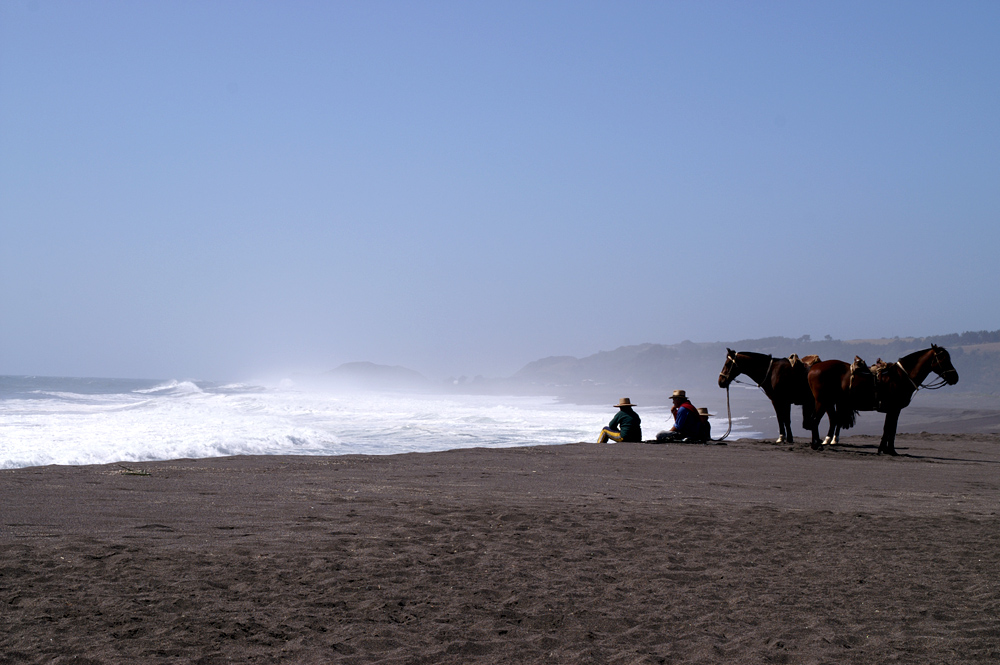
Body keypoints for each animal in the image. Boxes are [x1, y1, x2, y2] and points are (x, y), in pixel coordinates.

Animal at [804, 344, 960, 454]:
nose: (955, 377)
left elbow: (889, 429)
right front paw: (890, 450)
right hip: (823, 401)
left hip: (825, 402)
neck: (901, 377)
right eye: (943, 359)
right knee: (815, 421)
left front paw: (885, 449)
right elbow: (890, 429)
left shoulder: (893, 410)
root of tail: (814, 368)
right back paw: (816, 445)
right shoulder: (894, 409)